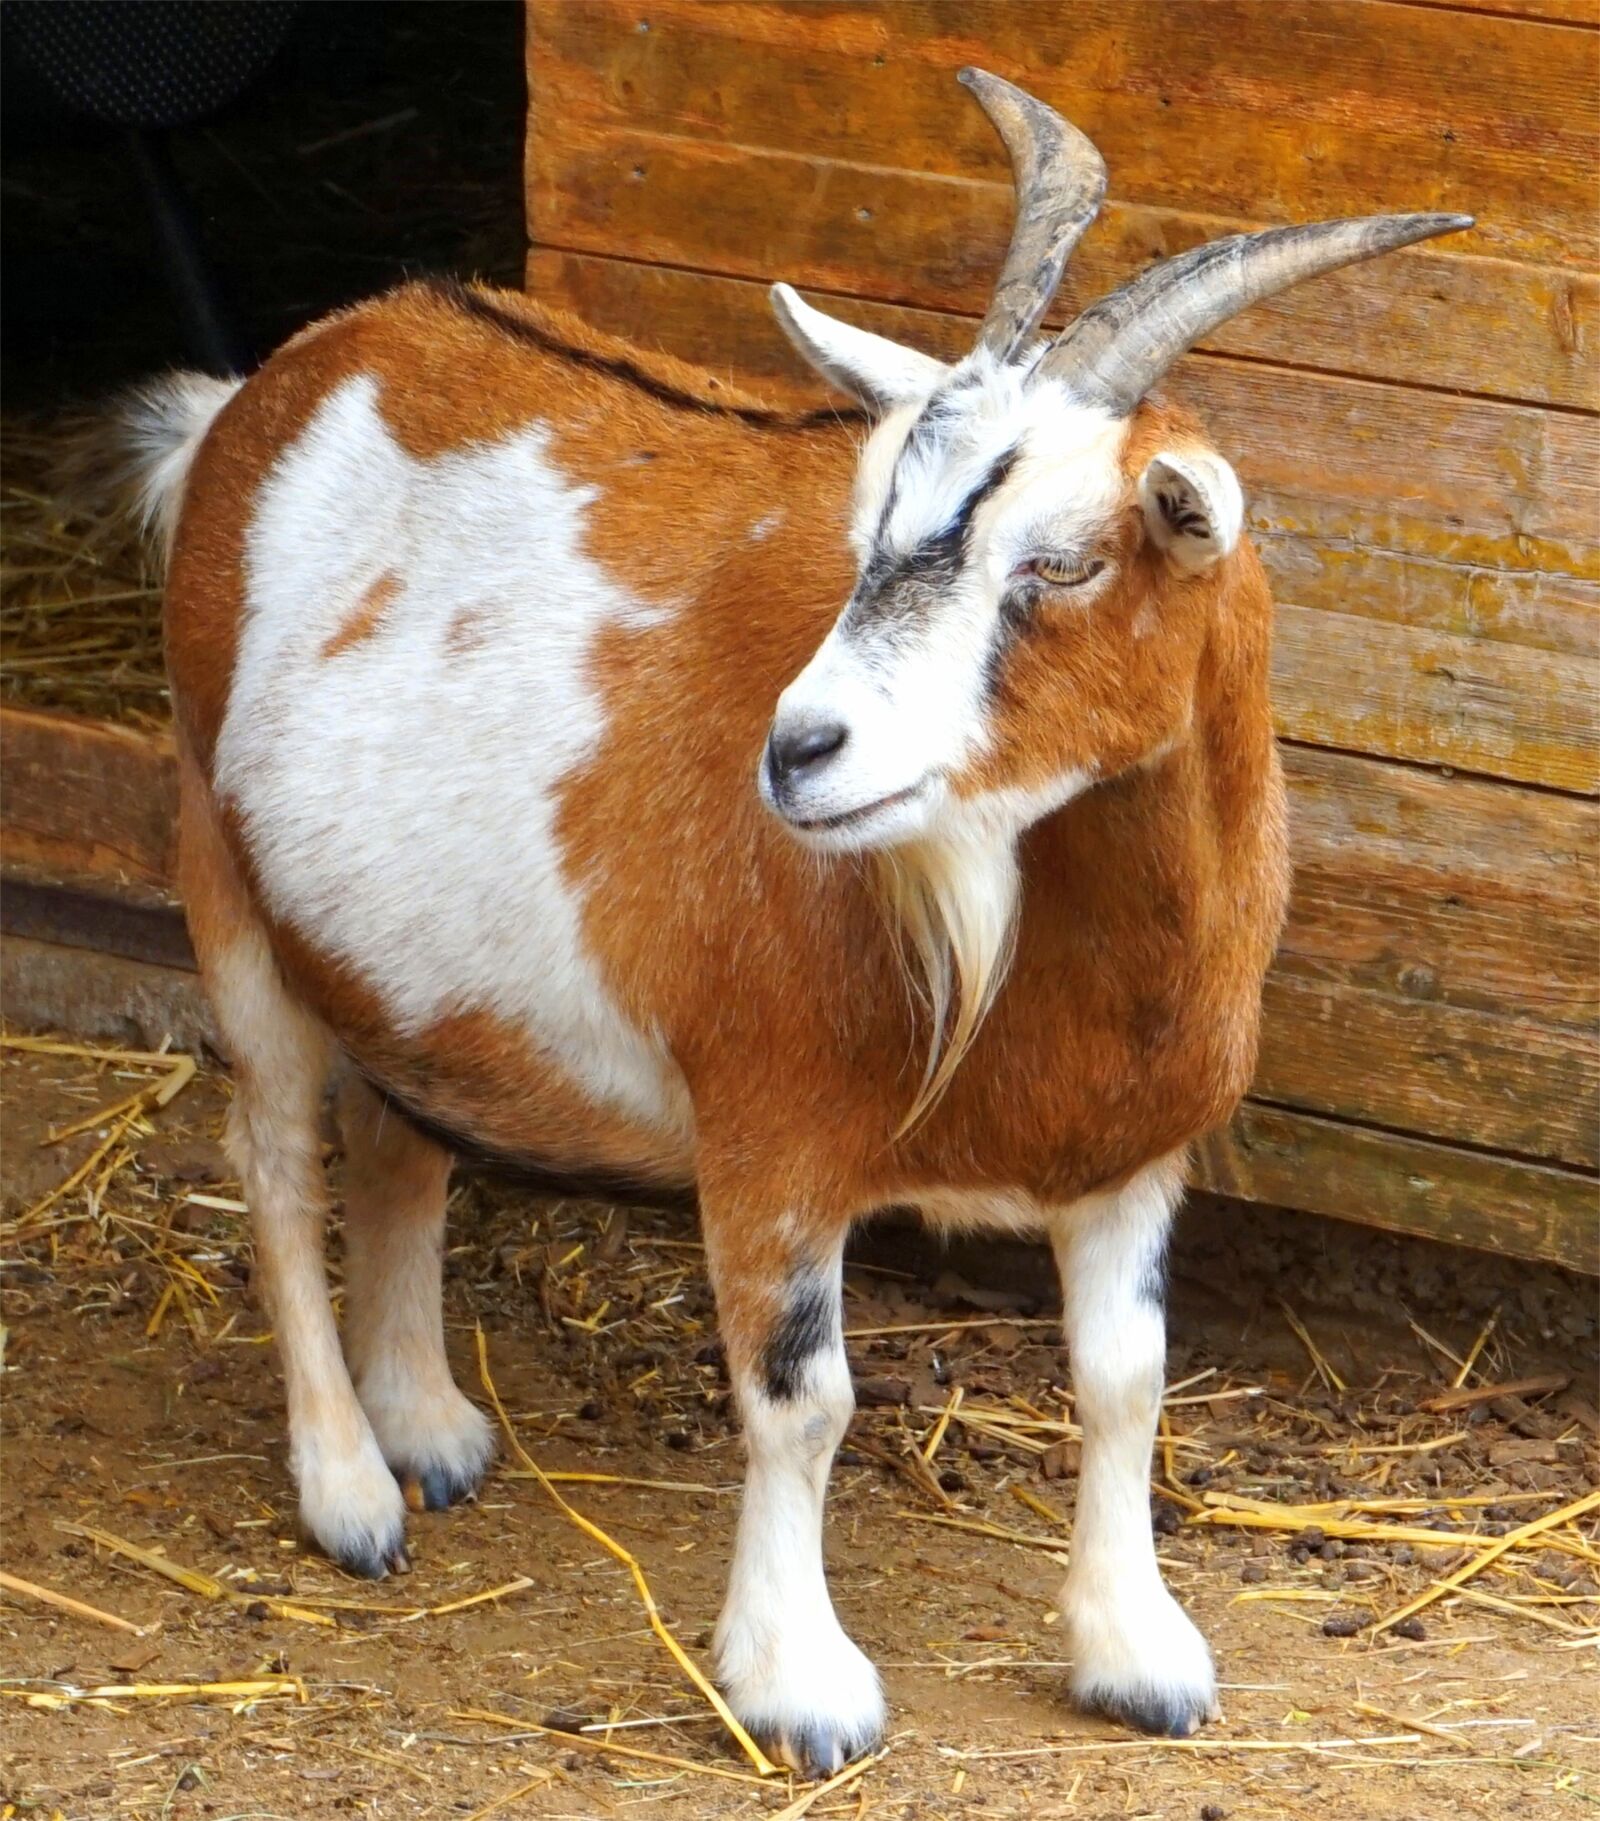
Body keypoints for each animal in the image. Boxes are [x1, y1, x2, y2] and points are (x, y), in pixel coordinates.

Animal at [123, 70, 1468, 1775]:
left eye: (1065, 559)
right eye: (873, 518)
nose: (801, 750)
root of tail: (277, 380)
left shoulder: (1132, 1156)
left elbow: (1126, 1381)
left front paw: (1137, 1651)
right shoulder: (773, 1132)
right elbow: (801, 1399)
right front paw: (797, 1685)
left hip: (400, 957)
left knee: (397, 1132)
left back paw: (425, 1420)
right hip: (221, 871)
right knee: (275, 1162)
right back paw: (351, 1487)